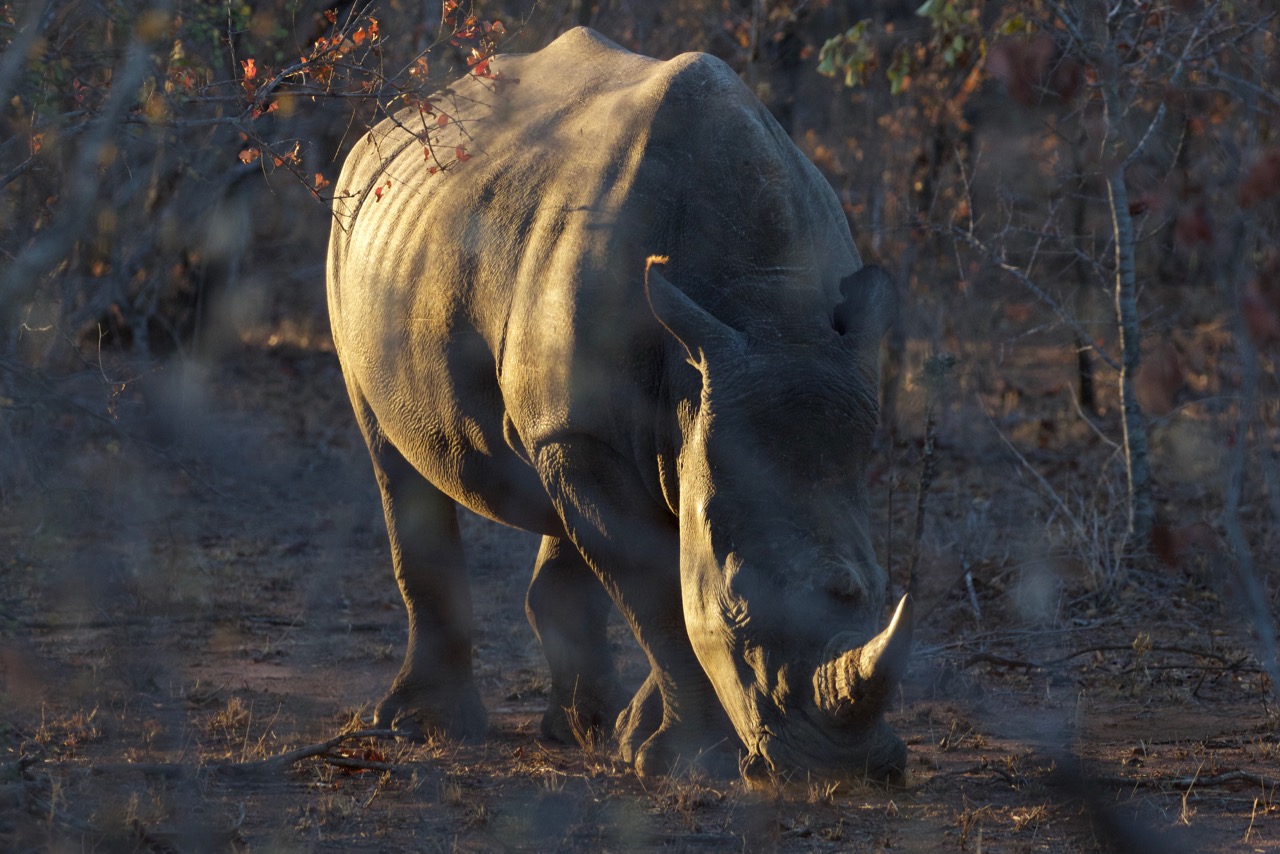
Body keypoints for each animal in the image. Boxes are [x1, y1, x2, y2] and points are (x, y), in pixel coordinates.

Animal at [326, 27, 910, 781]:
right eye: (740, 609)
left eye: (877, 588)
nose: (844, 769)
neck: (767, 311)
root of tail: (383, 125)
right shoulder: (605, 427)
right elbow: (659, 590)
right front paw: (687, 762)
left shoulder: (686, 410)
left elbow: (670, 573)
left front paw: (642, 742)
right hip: (348, 240)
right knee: (392, 456)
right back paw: (427, 729)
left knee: (558, 500)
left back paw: (582, 729)